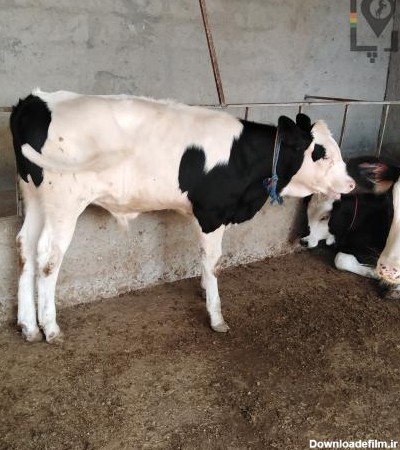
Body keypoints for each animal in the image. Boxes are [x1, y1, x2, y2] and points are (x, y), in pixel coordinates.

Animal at [10, 89, 355, 342]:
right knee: (48, 256)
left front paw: (203, 288)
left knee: (25, 247)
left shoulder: (202, 212)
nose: (351, 183)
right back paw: (50, 328)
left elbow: (203, 258)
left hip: (34, 196)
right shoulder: (213, 212)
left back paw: (28, 326)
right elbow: (214, 261)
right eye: (321, 153)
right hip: (64, 201)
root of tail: (35, 100)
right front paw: (216, 315)